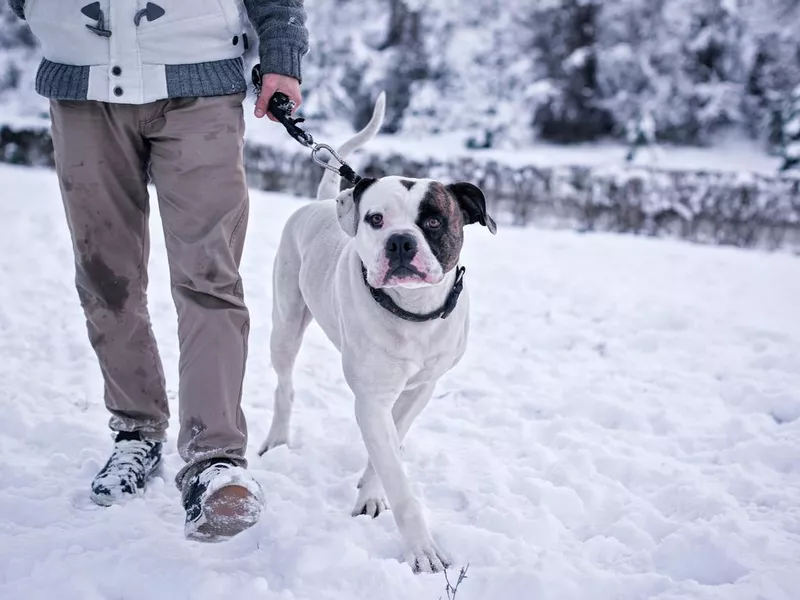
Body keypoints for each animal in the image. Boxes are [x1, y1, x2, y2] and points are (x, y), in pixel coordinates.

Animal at [258, 91, 494, 576]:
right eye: (376, 219)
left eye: (434, 221)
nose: (400, 241)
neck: (412, 312)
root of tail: (322, 202)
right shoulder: (371, 397)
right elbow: (399, 479)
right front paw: (422, 550)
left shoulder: (421, 388)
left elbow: (392, 444)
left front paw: (370, 489)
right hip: (286, 322)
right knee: (284, 384)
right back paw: (277, 438)